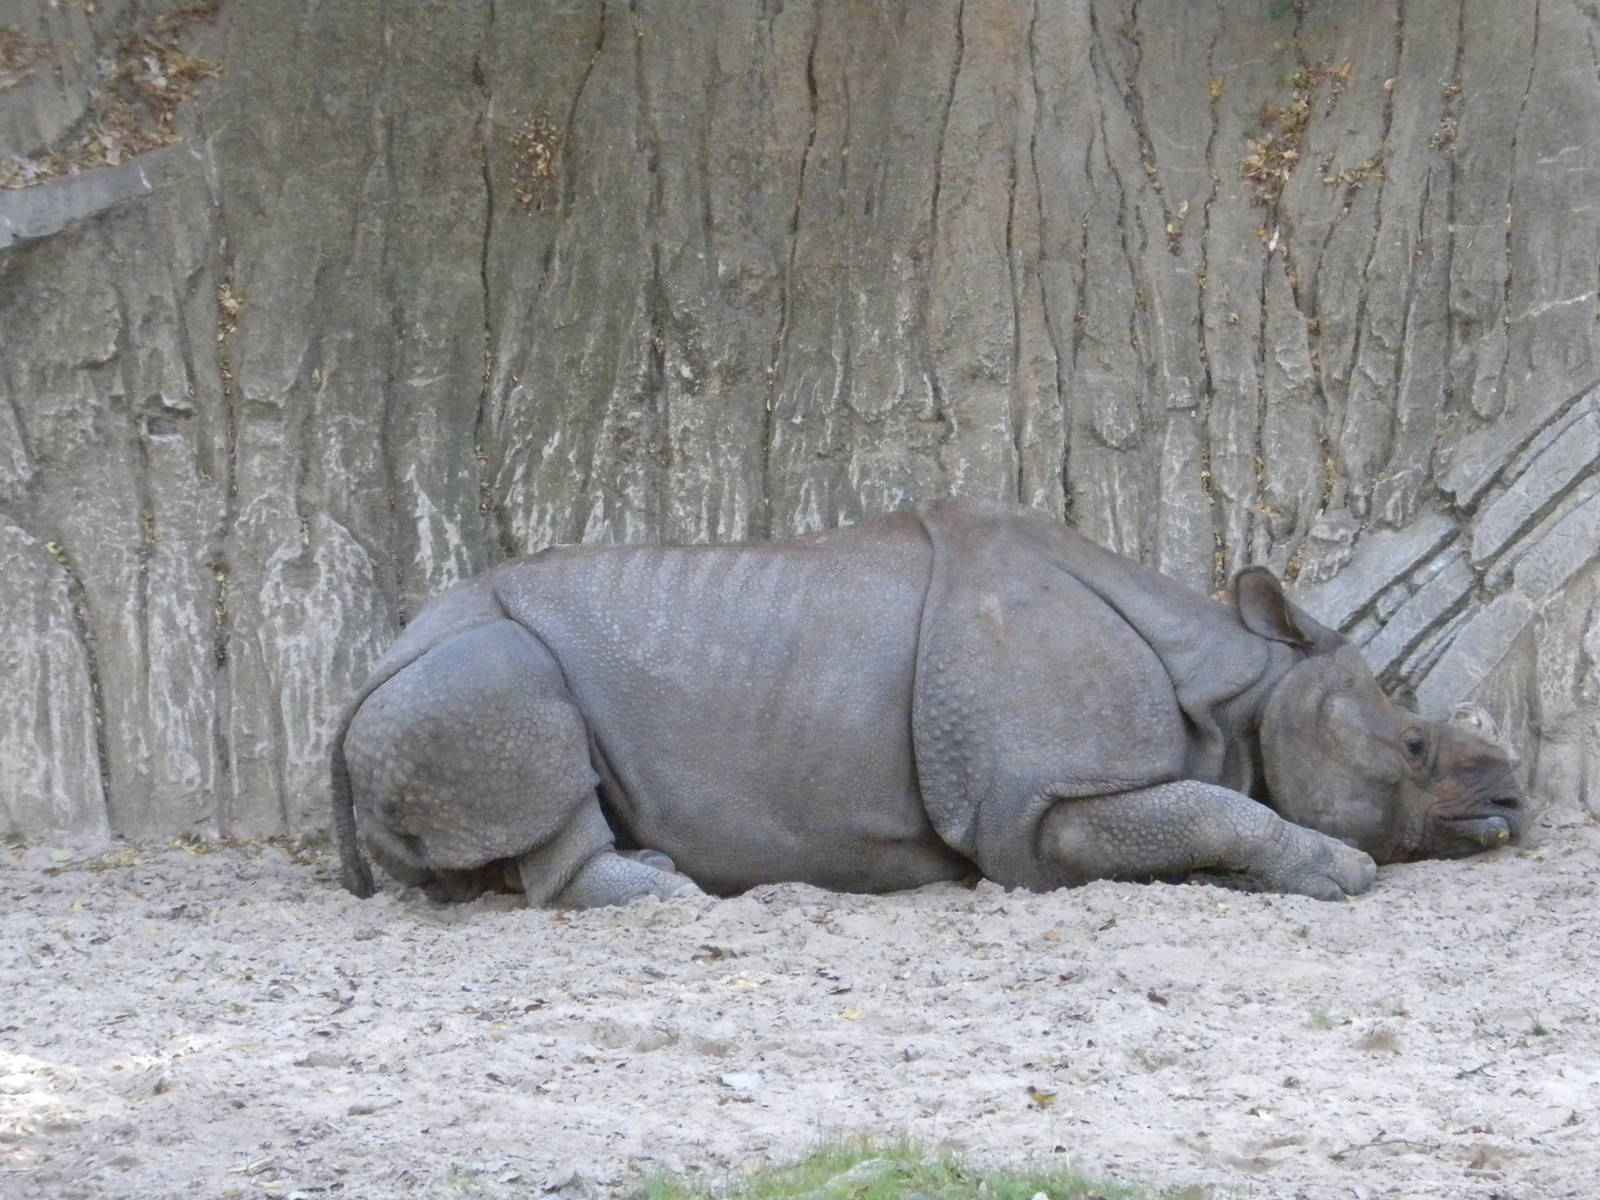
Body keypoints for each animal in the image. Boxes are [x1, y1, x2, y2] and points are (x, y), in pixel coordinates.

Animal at [332, 500, 1525, 908]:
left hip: (420, 683)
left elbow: (1207, 808)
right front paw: (1342, 873)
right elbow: (1210, 808)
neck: (1236, 685)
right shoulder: (1036, 806)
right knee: (516, 706)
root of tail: (372, 663)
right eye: (1413, 746)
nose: (1514, 796)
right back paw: (662, 893)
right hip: (463, 669)